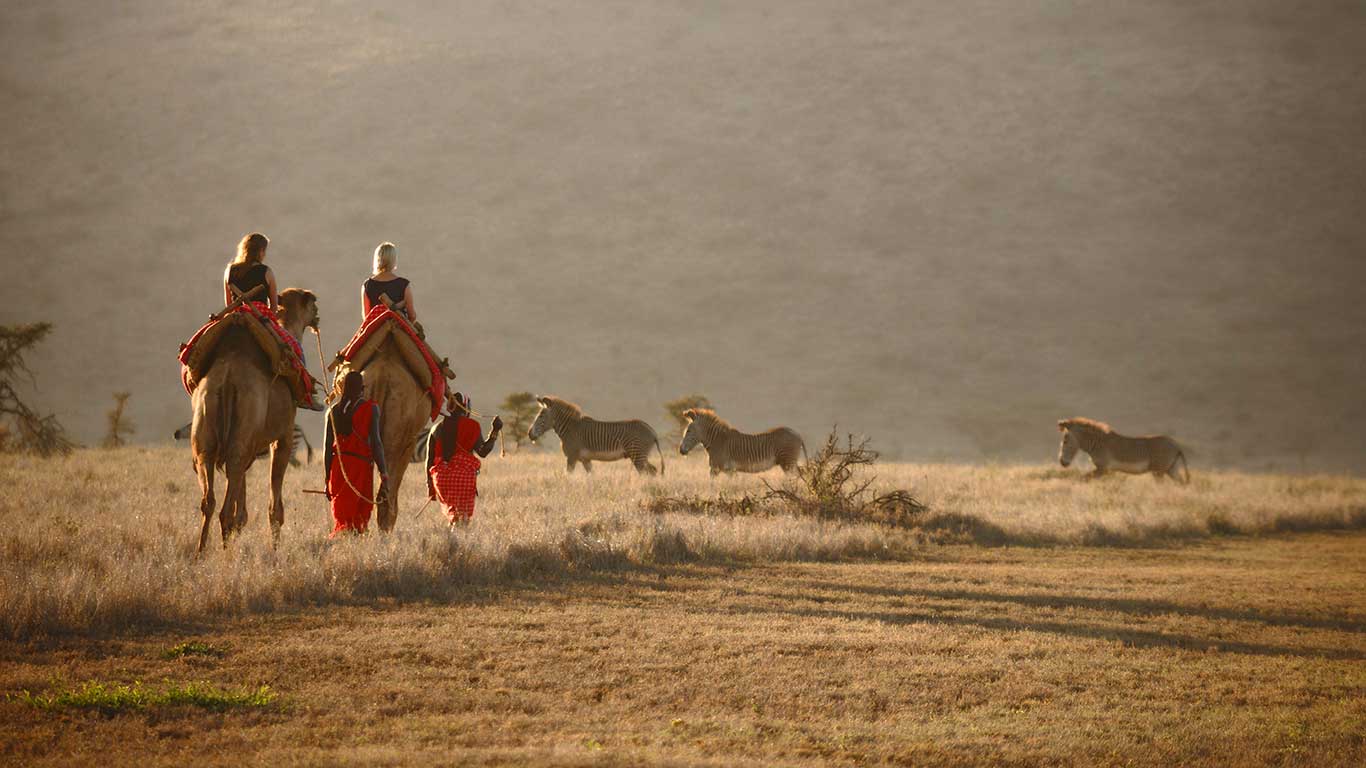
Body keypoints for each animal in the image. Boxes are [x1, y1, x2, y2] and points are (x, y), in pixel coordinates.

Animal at [188, 288, 318, 549]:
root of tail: (227, 379)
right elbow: (275, 506)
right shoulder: (283, 435)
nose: (317, 313)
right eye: (311, 303)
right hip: (246, 428)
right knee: (225, 508)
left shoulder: (249, 446)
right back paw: (225, 553)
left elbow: (242, 499)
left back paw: (201, 551)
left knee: (210, 497)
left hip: (207, 431)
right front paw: (275, 548)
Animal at [527, 393, 666, 472]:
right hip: (640, 455)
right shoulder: (585, 459)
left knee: (649, 472)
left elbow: (568, 476)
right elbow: (591, 478)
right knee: (653, 470)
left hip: (638, 454)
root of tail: (652, 430)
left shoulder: (572, 457)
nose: (529, 434)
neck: (570, 429)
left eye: (541, 416)